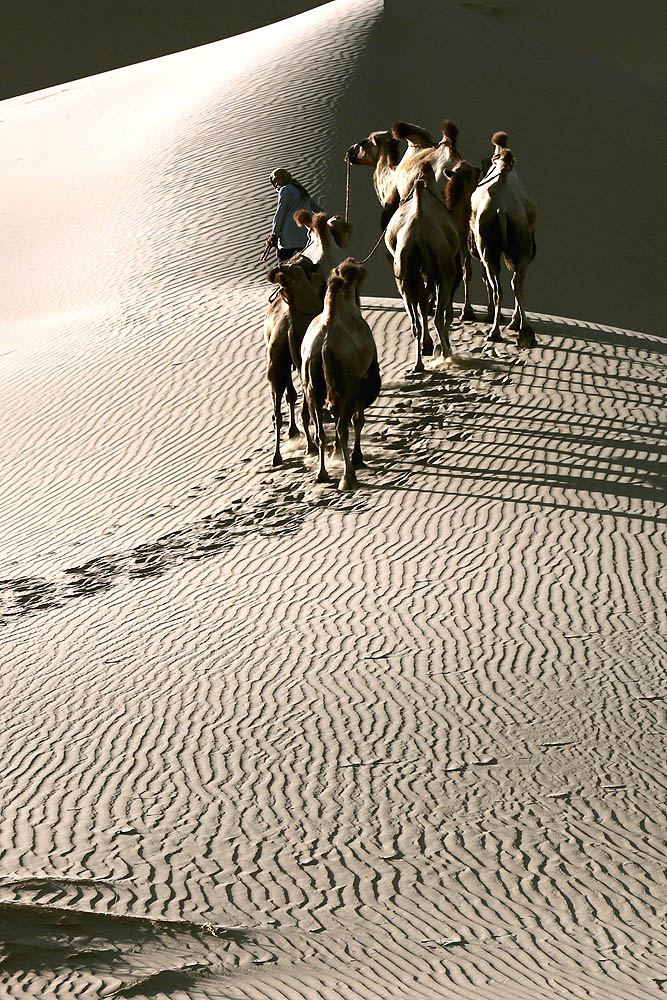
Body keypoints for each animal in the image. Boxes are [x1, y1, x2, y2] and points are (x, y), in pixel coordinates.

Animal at [302, 260, 380, 490]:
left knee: (321, 432)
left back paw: (322, 474)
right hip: (348, 385)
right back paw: (348, 477)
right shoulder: (362, 381)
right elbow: (358, 419)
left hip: (313, 388)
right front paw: (357, 458)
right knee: (344, 428)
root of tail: (325, 346)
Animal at [386, 160, 480, 372]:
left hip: (404, 275)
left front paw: (427, 345)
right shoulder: (449, 276)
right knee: (438, 318)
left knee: (414, 323)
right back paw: (446, 355)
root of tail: (419, 237)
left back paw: (418, 365)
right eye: (472, 171)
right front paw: (442, 346)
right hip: (444, 272)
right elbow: (447, 315)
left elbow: (423, 308)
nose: (480, 169)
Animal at [470, 146, 536, 350]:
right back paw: (521, 329)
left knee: (500, 285)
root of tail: (501, 209)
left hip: (489, 248)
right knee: (516, 282)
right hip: (522, 246)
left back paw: (496, 332)